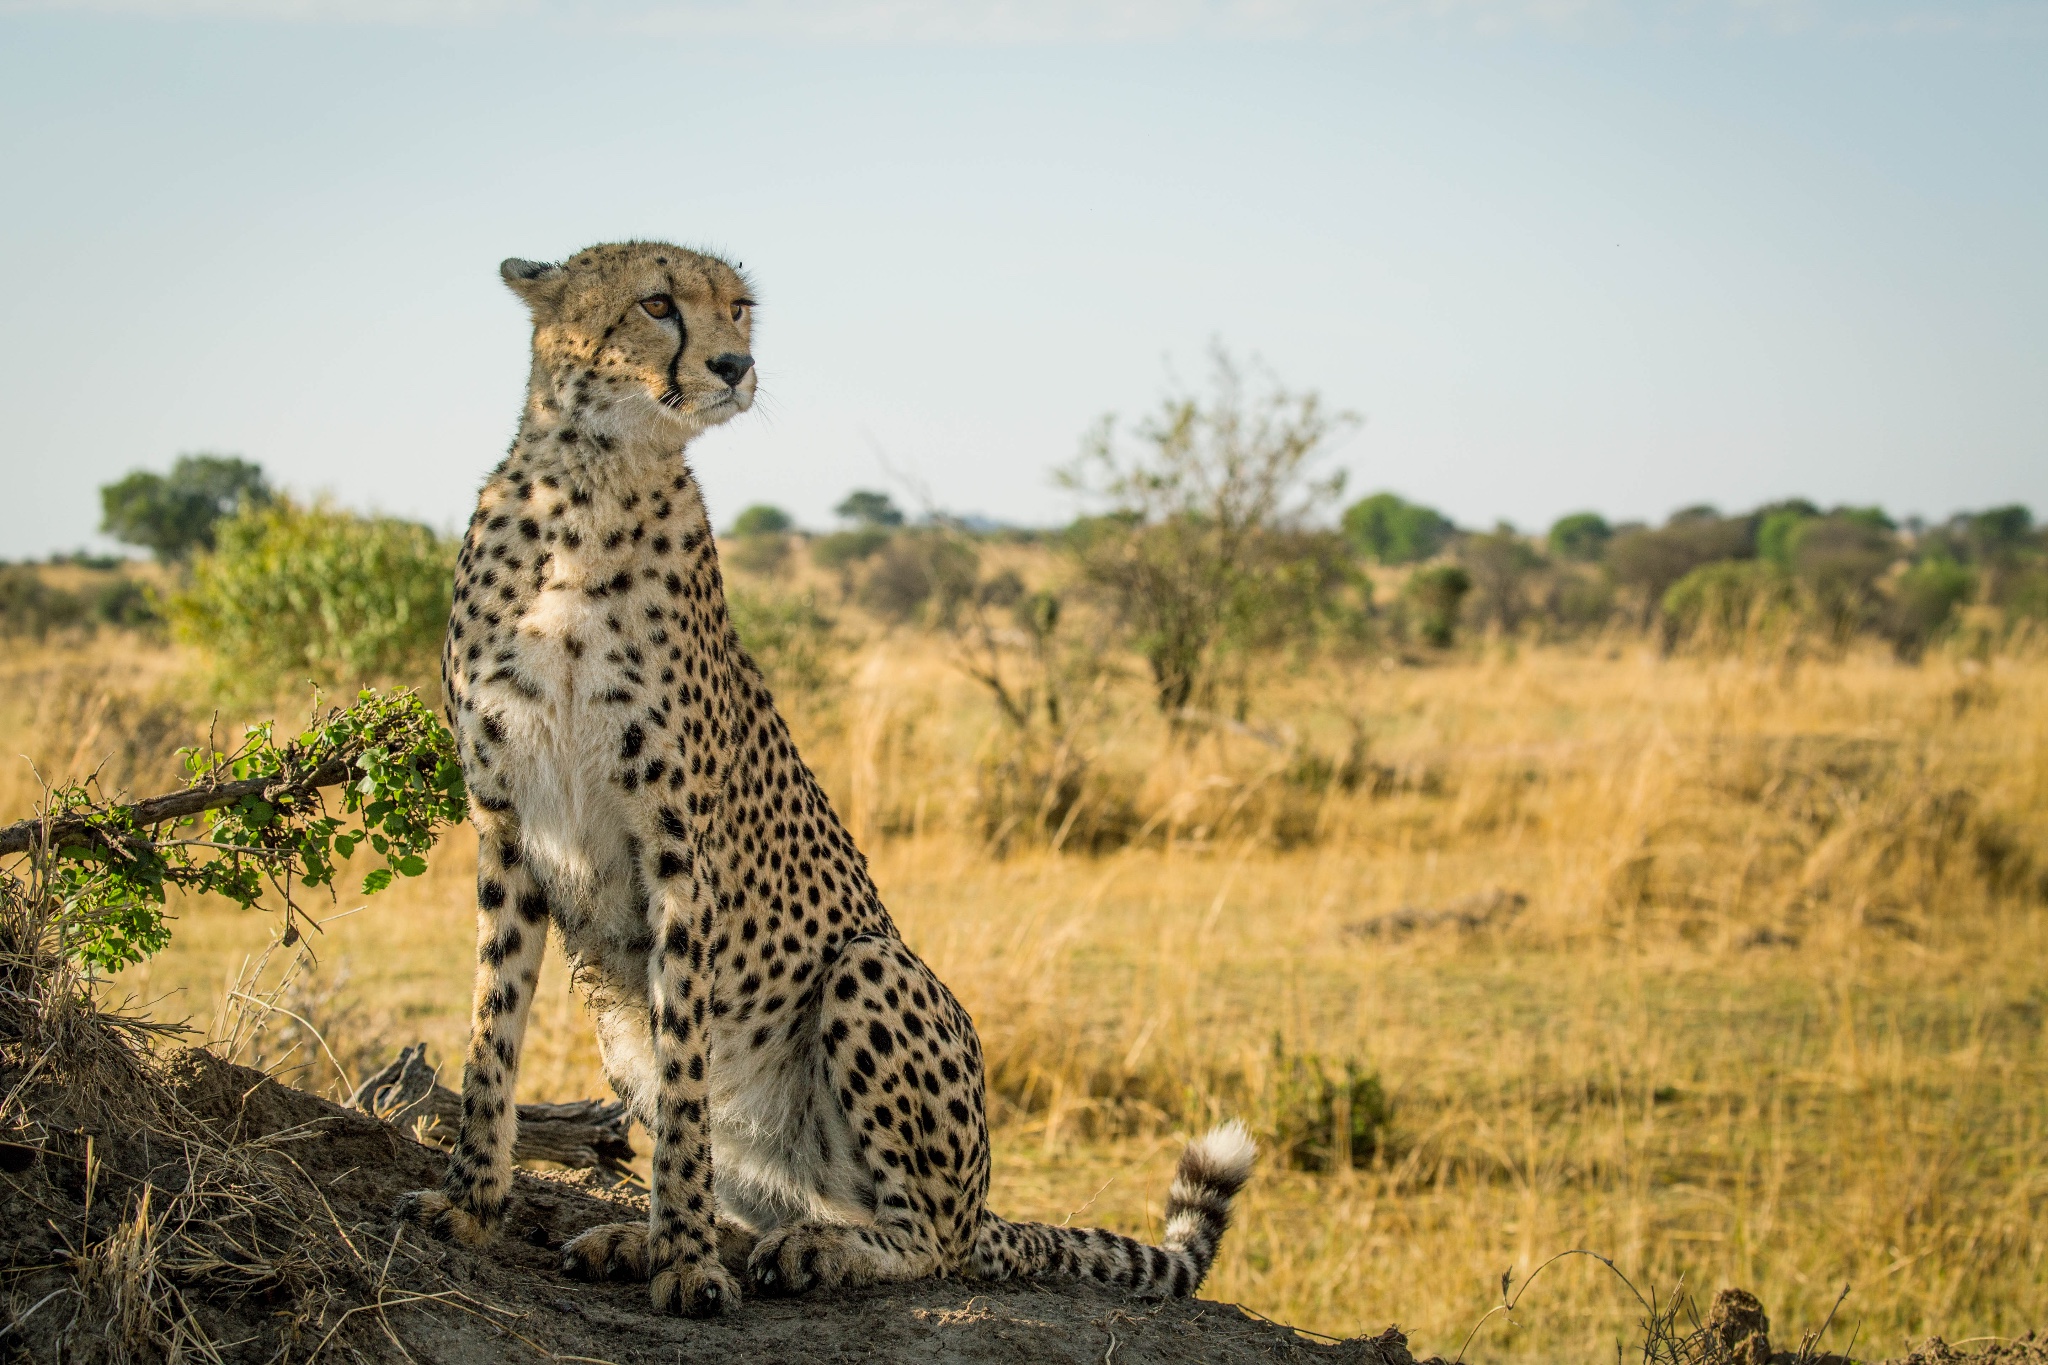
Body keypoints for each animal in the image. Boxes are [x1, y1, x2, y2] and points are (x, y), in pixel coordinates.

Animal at [391, 242, 1253, 1309]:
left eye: (739, 308)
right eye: (658, 303)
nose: (734, 366)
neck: (589, 484)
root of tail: (984, 1204)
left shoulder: (677, 847)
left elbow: (684, 1083)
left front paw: (685, 1263)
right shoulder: (506, 822)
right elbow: (491, 1029)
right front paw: (473, 1204)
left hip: (869, 970)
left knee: (934, 1241)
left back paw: (819, 1249)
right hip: (619, 1021)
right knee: (760, 1187)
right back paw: (660, 1235)